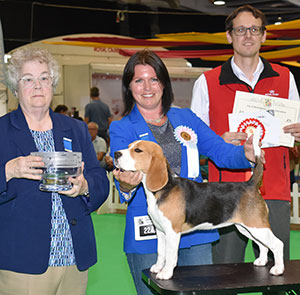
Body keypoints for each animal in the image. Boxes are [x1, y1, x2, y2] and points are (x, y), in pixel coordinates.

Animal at [113, 140, 284, 280]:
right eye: (129, 146)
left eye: (138, 150)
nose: (115, 153)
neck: (163, 188)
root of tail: (250, 184)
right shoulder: (161, 231)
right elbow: (161, 252)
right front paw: (157, 267)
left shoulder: (172, 232)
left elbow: (170, 254)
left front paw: (166, 273)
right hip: (247, 228)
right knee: (263, 245)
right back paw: (262, 261)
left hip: (257, 226)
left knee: (277, 244)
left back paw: (278, 269)